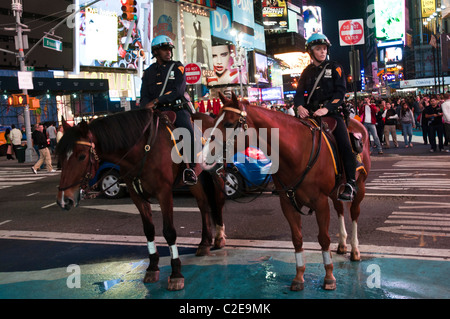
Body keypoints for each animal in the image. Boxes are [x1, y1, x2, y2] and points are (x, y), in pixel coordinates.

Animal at [55, 109, 227, 292]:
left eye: (81, 156)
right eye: (60, 156)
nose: (64, 200)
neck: (141, 152)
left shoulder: (164, 192)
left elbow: (169, 232)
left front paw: (176, 274)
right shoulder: (136, 195)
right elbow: (149, 230)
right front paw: (152, 267)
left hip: (215, 173)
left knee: (218, 202)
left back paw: (219, 237)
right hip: (194, 180)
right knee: (203, 204)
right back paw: (204, 243)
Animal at [202, 93, 370, 292]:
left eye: (228, 124)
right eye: (214, 121)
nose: (203, 157)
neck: (297, 153)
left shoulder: (320, 202)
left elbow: (324, 239)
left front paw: (329, 277)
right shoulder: (288, 202)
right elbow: (297, 239)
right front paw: (299, 277)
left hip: (359, 186)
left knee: (354, 213)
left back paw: (355, 250)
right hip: (336, 189)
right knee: (340, 209)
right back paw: (343, 244)